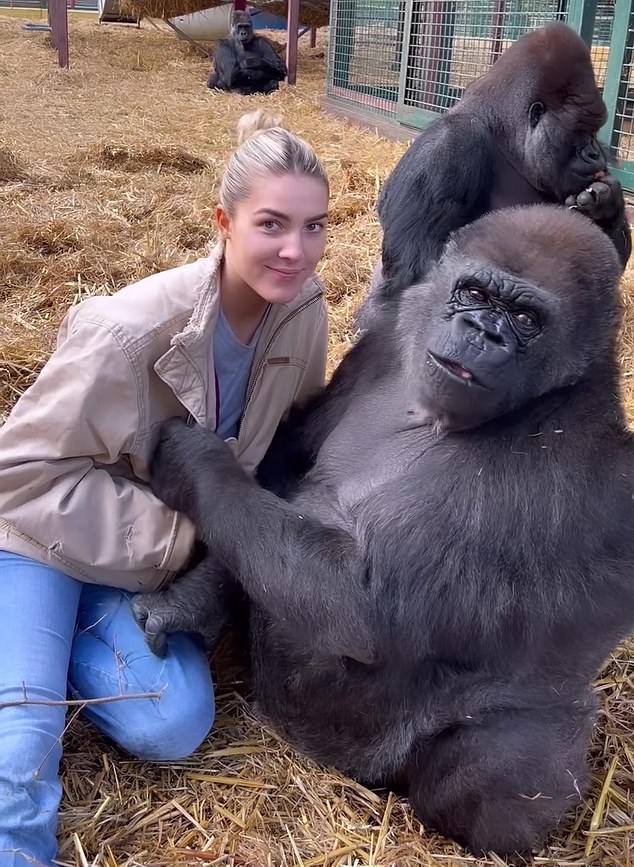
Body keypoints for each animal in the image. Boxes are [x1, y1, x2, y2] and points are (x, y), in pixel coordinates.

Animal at [133, 205, 632, 860]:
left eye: (526, 320)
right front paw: (192, 602)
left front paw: (191, 463)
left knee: (500, 768)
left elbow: (362, 608)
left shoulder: (564, 457)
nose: (482, 331)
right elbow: (287, 462)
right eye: (473, 294)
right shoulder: (389, 336)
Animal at [356, 23, 628, 328]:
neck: (504, 137)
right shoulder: (448, 146)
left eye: (595, 129)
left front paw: (606, 204)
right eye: (582, 127)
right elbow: (416, 272)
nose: (595, 153)